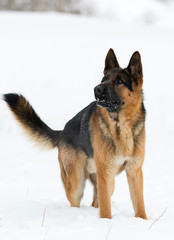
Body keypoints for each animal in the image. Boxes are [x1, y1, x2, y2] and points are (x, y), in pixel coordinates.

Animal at [3, 48, 147, 219]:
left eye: (119, 81)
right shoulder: (105, 174)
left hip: (107, 182)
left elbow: (139, 206)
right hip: (77, 182)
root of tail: (62, 132)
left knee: (95, 202)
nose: (97, 89)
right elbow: (106, 210)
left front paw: (142, 221)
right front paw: (106, 222)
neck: (121, 124)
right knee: (76, 201)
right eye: (104, 79)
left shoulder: (134, 172)